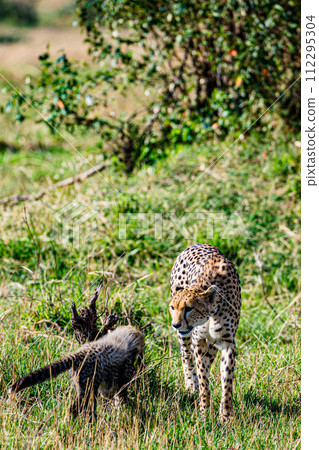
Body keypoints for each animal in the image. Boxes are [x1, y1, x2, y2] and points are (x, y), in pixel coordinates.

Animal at [169, 243, 241, 422]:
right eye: (172, 307)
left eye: (189, 308)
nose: (175, 324)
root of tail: (197, 244)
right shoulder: (199, 340)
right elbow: (203, 379)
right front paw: (204, 411)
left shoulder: (227, 342)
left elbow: (227, 380)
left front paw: (226, 415)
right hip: (187, 338)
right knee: (186, 355)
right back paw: (190, 385)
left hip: (213, 343)